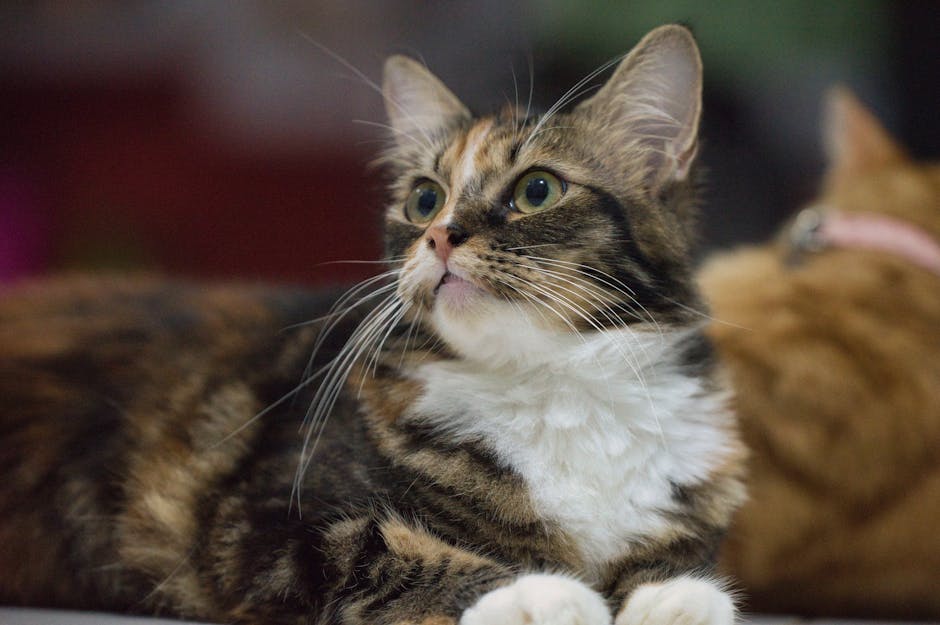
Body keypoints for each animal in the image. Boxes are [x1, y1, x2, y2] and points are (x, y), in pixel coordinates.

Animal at [3, 25, 744, 624]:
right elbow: (397, 550)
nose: (440, 237)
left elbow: (675, 558)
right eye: (425, 200)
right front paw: (543, 592)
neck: (551, 380)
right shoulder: (262, 525)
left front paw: (678, 596)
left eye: (538, 190)